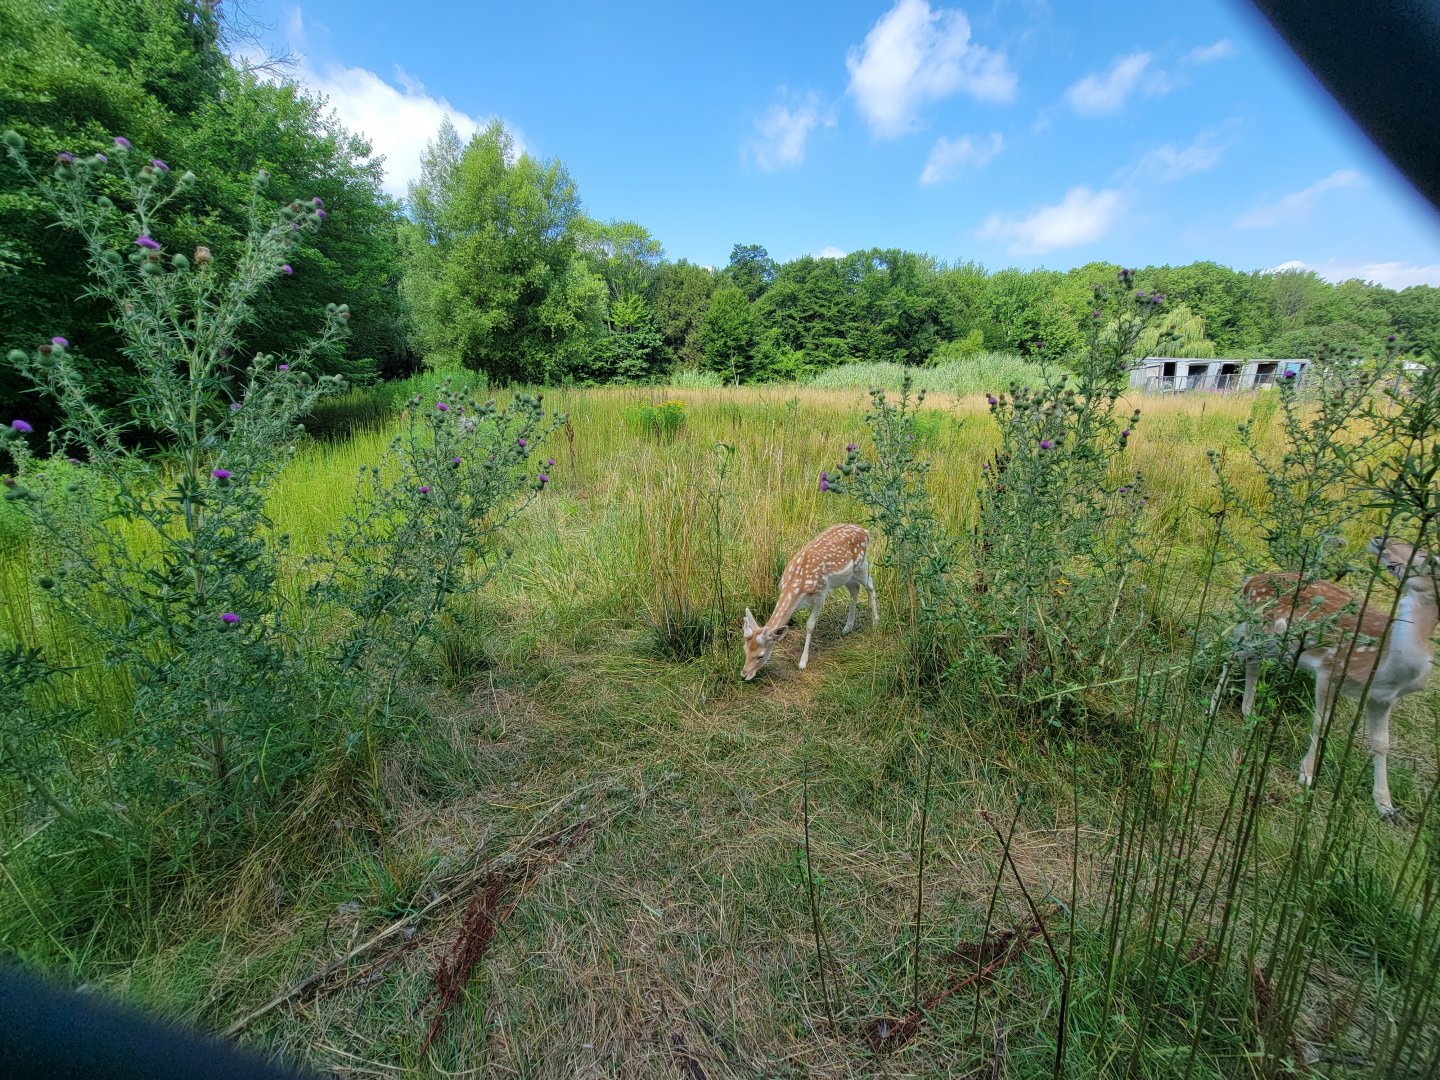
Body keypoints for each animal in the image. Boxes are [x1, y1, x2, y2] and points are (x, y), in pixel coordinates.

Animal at [742, 523, 877, 681]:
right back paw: (847, 627)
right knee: (855, 588)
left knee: (870, 584)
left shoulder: (821, 593)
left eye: (761, 655)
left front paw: (802, 662)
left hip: (860, 565)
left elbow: (810, 625)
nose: (744, 674)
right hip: (846, 576)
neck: (795, 588)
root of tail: (865, 531)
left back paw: (875, 622)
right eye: (744, 649)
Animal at [1232, 537, 1439, 818]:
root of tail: (1251, 580)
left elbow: (1382, 743)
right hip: (1256, 630)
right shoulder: (1330, 668)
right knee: (1233, 654)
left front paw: (1385, 805)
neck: (1389, 665)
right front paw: (1307, 776)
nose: (1380, 540)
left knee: (1251, 662)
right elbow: (1320, 722)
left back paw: (1249, 712)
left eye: (1431, 560)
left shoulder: (1382, 698)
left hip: (1270, 644)